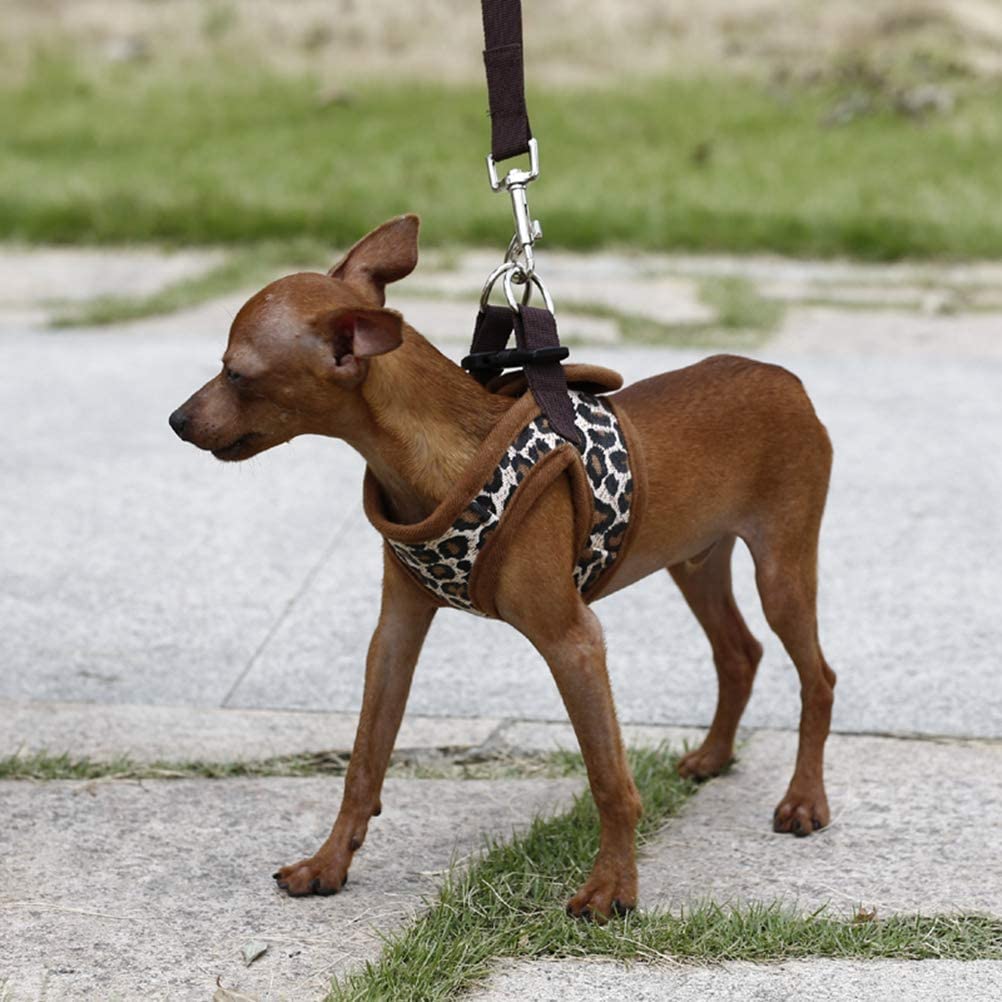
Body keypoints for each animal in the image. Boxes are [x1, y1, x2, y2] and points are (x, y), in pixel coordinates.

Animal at [168, 215, 833, 917]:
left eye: (237, 374)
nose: (177, 420)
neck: (440, 454)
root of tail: (785, 377)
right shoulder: (395, 635)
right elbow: (364, 760)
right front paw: (328, 863)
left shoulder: (573, 642)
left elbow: (608, 778)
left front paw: (612, 887)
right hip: (695, 562)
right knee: (740, 653)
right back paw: (713, 756)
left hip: (781, 571)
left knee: (818, 677)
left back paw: (803, 800)